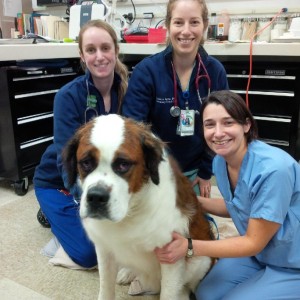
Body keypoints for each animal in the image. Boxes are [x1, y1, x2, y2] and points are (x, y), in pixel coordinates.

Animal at [62, 114, 213, 300]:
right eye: (86, 163)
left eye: (123, 164)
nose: (96, 197)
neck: (131, 211)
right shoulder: (104, 248)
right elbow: (105, 287)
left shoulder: (172, 255)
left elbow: (169, 292)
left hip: (203, 259)